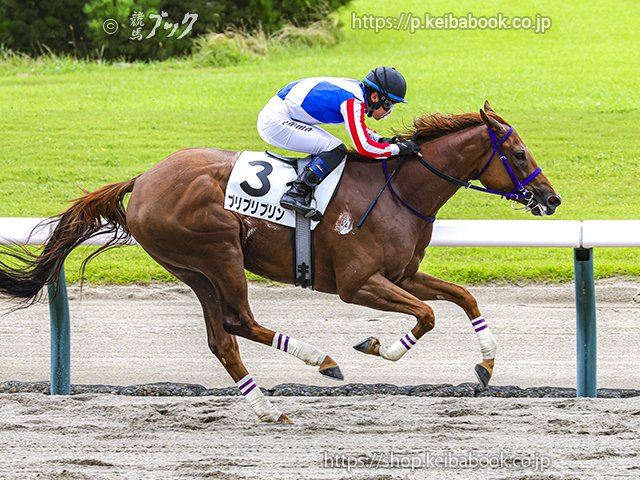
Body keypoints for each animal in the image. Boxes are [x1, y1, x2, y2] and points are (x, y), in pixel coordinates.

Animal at [0, 101, 561, 423]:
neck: (398, 190)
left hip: (193, 269)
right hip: (219, 251)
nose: (551, 199)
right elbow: (426, 315)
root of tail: (142, 179)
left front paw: (486, 364)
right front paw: (377, 346)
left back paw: (267, 408)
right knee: (239, 320)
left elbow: (463, 296)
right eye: (518, 152)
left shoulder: (402, 273)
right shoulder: (357, 283)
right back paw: (321, 360)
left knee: (223, 337)